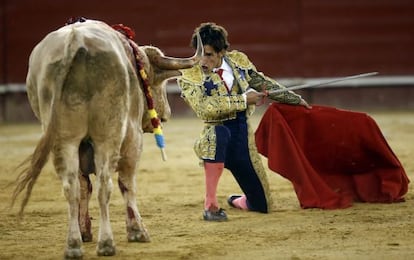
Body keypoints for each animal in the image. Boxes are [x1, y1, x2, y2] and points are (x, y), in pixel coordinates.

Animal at [10, 17, 201, 258]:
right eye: (158, 82)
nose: (166, 114)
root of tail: (75, 41)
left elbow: (84, 187)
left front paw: (84, 232)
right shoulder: (132, 139)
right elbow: (126, 183)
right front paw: (137, 231)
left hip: (62, 138)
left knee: (71, 186)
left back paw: (73, 245)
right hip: (108, 133)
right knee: (105, 184)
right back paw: (107, 243)